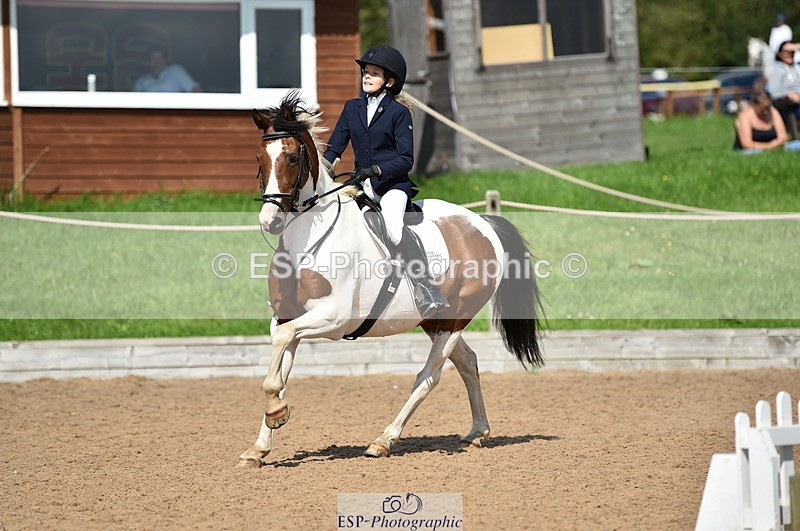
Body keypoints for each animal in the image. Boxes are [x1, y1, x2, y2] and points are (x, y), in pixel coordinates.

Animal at [237, 91, 545, 468]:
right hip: (434, 320)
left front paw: (276, 413)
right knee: (468, 363)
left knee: (429, 377)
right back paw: (476, 432)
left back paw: (383, 440)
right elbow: (279, 368)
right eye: (259, 158)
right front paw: (261, 443)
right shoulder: (287, 317)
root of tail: (482, 223)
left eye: (293, 158)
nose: (270, 221)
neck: (308, 239)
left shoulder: (333, 318)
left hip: (454, 320)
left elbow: (279, 356)